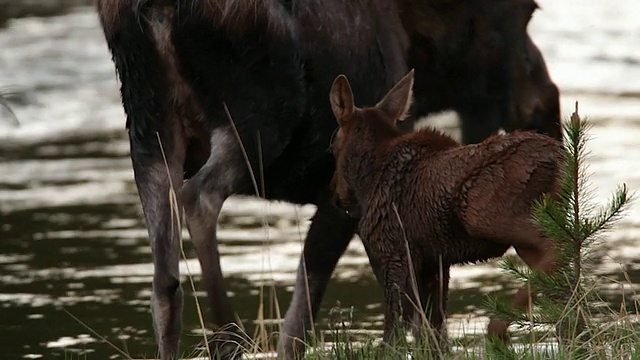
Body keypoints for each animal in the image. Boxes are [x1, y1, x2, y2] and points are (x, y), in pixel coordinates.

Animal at [328, 68, 564, 346]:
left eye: (333, 147)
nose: (335, 194)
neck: (369, 180)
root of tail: (558, 156)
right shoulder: (434, 264)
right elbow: (434, 334)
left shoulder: (392, 253)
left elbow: (393, 335)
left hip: (485, 216)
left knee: (557, 249)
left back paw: (497, 327)